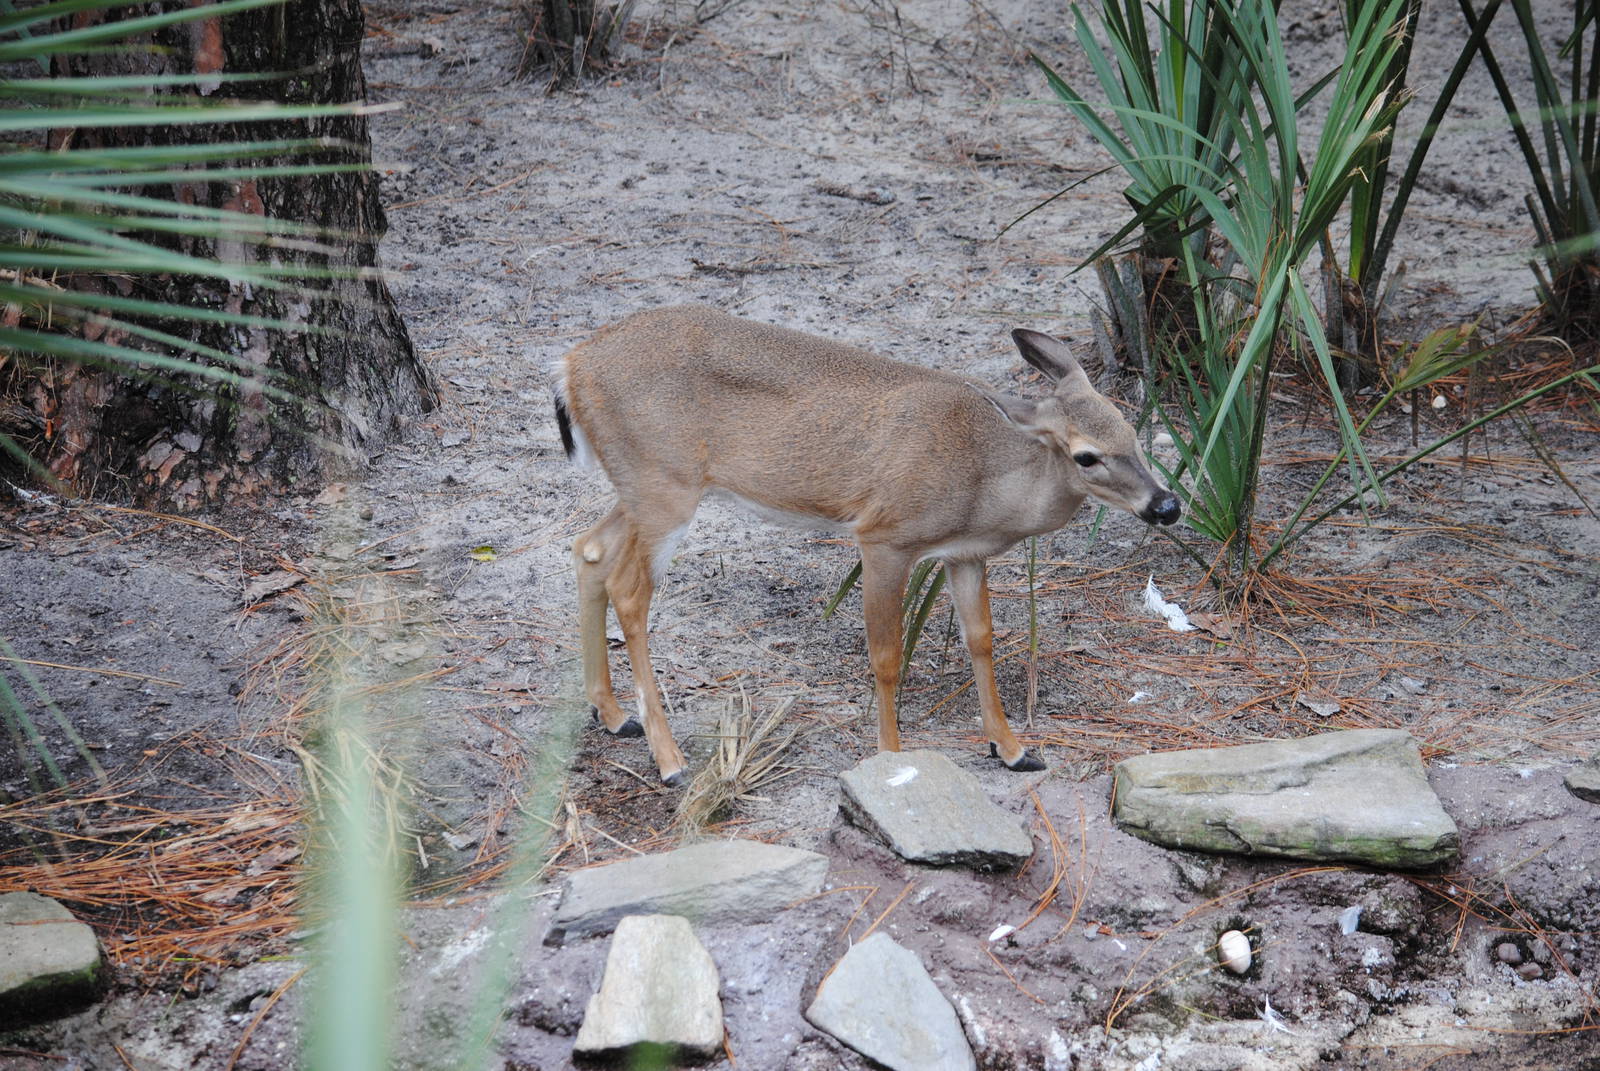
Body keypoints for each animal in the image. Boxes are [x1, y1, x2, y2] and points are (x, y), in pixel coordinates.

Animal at [553, 305, 1181, 785]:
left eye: (1131, 431)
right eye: (1086, 456)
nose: (1166, 505)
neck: (986, 481)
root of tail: (571, 364)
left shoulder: (964, 554)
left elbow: (981, 640)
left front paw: (1012, 749)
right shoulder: (884, 536)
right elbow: (886, 656)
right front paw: (892, 758)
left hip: (642, 485)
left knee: (588, 550)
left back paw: (613, 716)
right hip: (664, 486)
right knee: (629, 591)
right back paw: (670, 760)